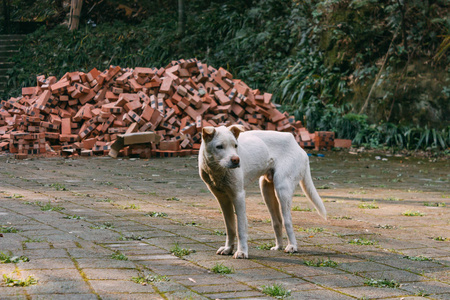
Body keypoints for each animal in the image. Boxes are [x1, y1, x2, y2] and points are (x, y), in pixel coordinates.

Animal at [199, 125, 326, 258]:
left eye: (235, 146)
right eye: (219, 147)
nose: (236, 160)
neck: (218, 170)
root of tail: (298, 146)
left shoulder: (238, 196)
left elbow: (240, 228)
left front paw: (242, 252)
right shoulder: (223, 199)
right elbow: (230, 227)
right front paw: (228, 249)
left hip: (282, 190)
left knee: (287, 221)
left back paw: (292, 246)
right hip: (266, 191)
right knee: (277, 221)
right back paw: (278, 246)